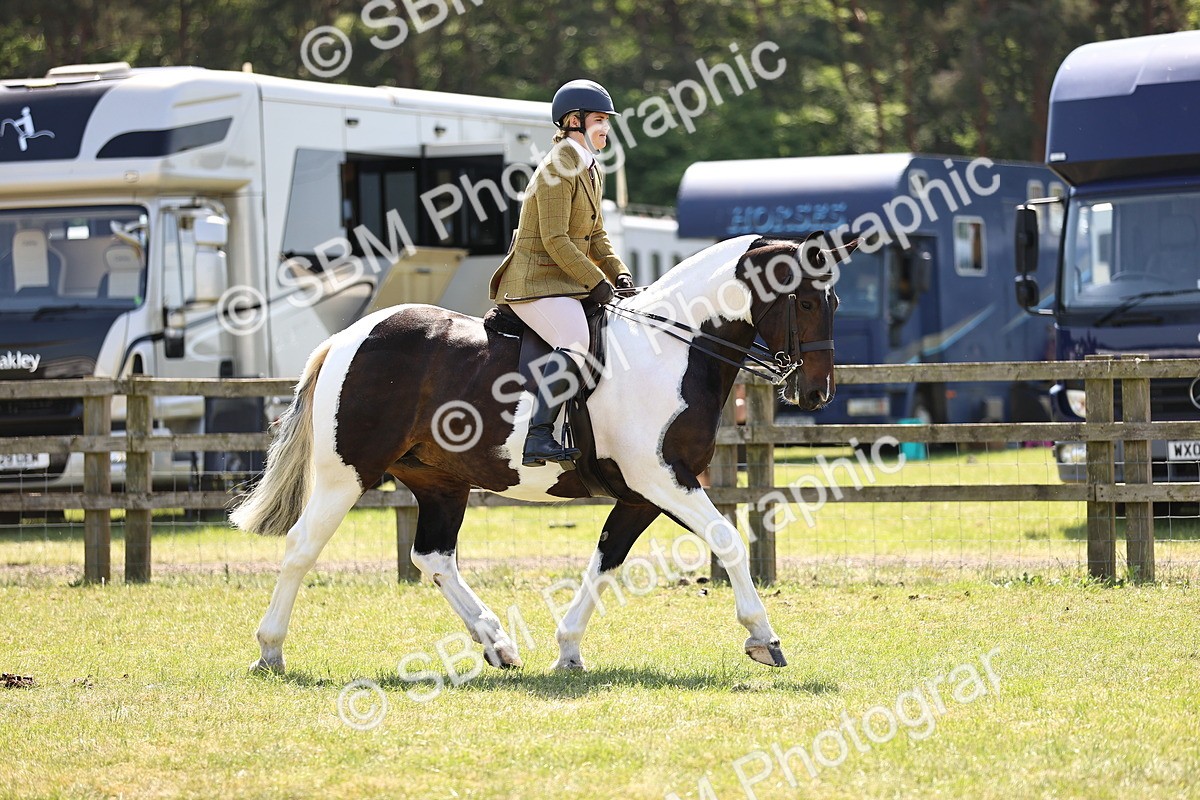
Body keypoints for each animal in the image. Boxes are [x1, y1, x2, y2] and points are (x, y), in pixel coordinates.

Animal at [231, 232, 856, 673]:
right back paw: (269, 650)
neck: (672, 346)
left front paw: (568, 649)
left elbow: (606, 561)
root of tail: (349, 337)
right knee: (302, 548)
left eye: (835, 300)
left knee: (433, 557)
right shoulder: (662, 478)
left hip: (441, 482)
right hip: (348, 474)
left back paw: (498, 644)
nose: (816, 392)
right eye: (803, 301)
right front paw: (763, 637)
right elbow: (727, 539)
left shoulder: (642, 493)